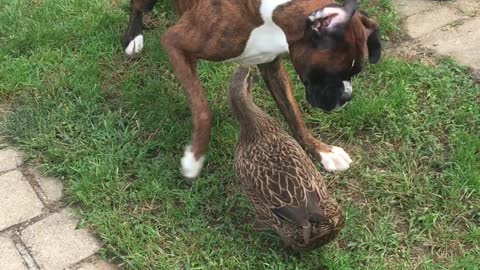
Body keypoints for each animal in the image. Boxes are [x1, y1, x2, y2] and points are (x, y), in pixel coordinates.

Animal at [121, 0, 382, 179]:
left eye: (355, 72)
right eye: (333, 74)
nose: (347, 97)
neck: (270, 17)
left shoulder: (271, 65)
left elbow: (294, 115)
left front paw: (322, 151)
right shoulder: (175, 42)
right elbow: (203, 110)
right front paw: (194, 158)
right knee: (136, 6)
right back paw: (134, 38)